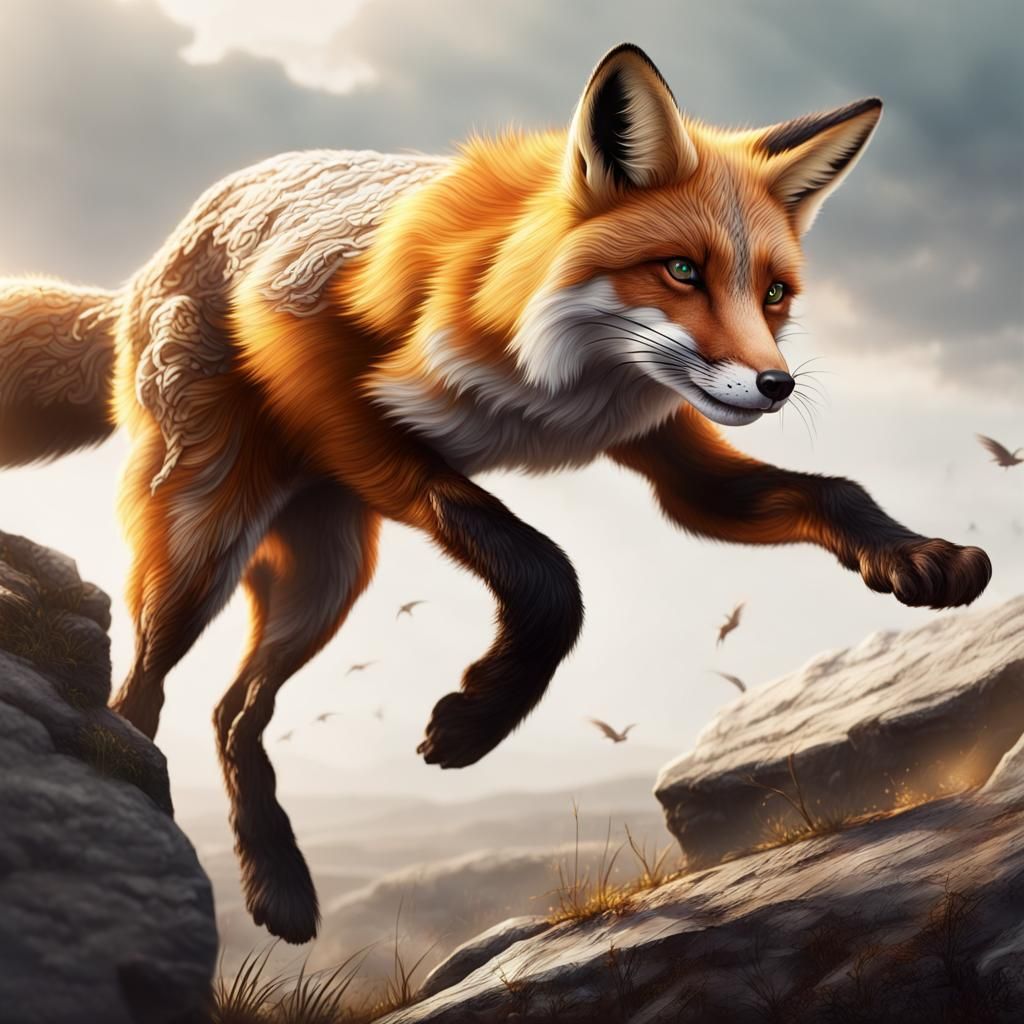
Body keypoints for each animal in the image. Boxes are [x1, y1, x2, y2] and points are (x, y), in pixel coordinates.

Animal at [0, 43, 991, 943]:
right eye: (681, 270)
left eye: (774, 292)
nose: (776, 385)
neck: (555, 383)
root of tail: (153, 261)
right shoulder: (335, 391)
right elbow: (542, 564)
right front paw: (477, 721)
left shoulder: (669, 452)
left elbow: (836, 491)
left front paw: (921, 556)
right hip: (203, 542)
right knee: (145, 690)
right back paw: (146, 790)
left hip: (328, 577)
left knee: (234, 711)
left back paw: (277, 886)